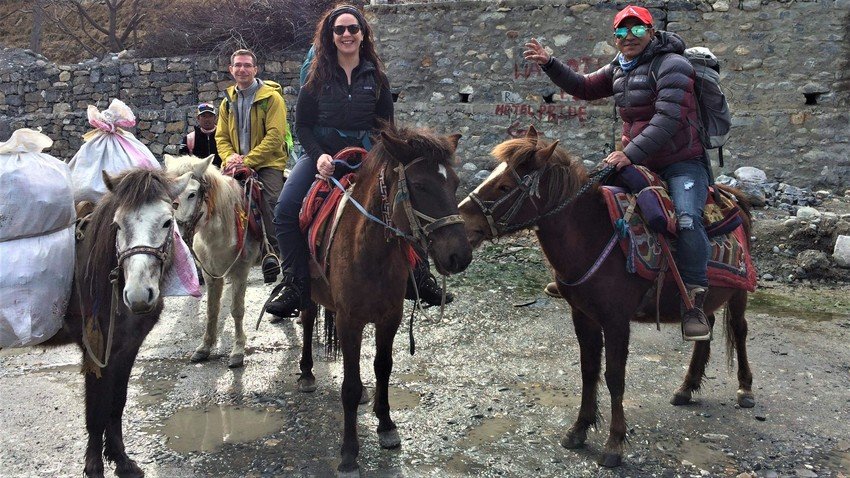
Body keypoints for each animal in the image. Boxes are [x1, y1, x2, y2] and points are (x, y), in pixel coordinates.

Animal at [43, 168, 190, 478]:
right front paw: (95, 466)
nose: (138, 296)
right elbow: (96, 409)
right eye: (118, 225)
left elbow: (117, 403)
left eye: (167, 222)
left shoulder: (127, 347)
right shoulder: (96, 350)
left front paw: (121, 459)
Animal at [164, 155, 260, 368]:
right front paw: (204, 347)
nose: (178, 233)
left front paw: (238, 350)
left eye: (192, 194)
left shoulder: (240, 272)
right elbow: (212, 310)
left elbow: (236, 310)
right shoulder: (211, 275)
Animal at [290, 125, 470, 476]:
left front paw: (386, 425)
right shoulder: (350, 320)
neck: (371, 251)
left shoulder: (390, 316)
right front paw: (348, 454)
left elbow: (383, 367)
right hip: (309, 295)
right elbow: (348, 386)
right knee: (306, 321)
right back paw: (306, 373)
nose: (460, 256)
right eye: (420, 185)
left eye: (455, 183)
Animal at [460, 127, 752, 466]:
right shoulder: (582, 315)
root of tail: (735, 197)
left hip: (740, 293)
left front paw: (614, 443)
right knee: (706, 327)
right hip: (705, 298)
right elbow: (588, 371)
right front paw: (578, 429)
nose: (462, 224)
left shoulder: (616, 322)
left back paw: (745, 389)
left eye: (505, 186)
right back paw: (686, 387)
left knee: (739, 330)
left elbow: (615, 377)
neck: (593, 235)